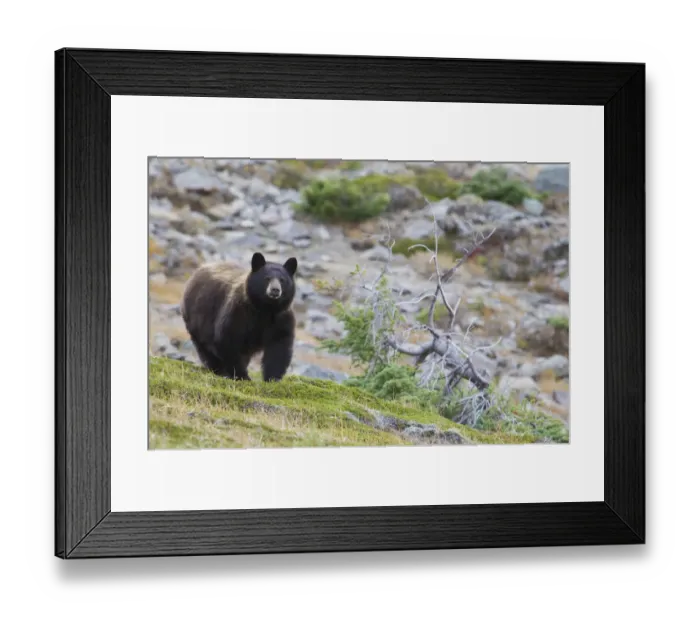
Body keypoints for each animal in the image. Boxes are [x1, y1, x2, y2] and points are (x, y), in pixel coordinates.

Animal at [180, 252, 297, 382]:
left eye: (282, 280)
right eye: (267, 278)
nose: (275, 290)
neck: (264, 309)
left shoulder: (280, 319)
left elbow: (279, 346)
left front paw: (272, 378)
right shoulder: (239, 312)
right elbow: (228, 338)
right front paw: (241, 375)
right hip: (198, 318)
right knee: (205, 347)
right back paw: (218, 369)